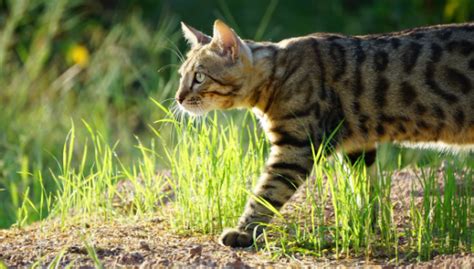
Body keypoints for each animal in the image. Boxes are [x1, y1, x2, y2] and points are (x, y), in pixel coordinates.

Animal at [175, 19, 474, 247]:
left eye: (199, 77)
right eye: (180, 76)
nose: (178, 98)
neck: (277, 75)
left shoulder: (295, 148)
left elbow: (265, 193)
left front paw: (243, 231)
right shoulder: (359, 146)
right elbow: (365, 190)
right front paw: (365, 225)